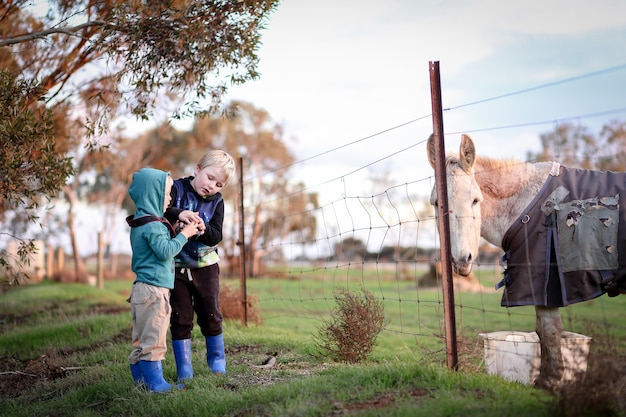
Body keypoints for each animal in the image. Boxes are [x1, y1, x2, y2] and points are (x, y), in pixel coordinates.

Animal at [424, 134, 620, 390]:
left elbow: (548, 329)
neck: (529, 205)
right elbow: (543, 330)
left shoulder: (546, 282)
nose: (461, 259)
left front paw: (549, 381)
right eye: (437, 203)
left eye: (475, 200)